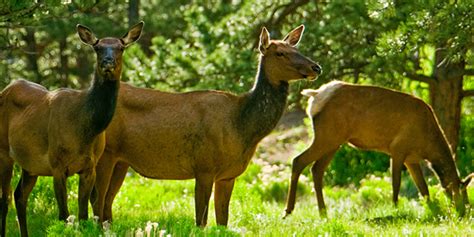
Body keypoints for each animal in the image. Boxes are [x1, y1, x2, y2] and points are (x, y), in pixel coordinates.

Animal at [0, 21, 143, 235]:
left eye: (121, 47)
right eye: (97, 47)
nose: (108, 62)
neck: (85, 130)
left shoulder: (89, 166)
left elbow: (83, 216)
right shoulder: (57, 164)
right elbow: (64, 215)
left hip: (30, 165)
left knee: (19, 196)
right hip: (3, 151)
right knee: (4, 199)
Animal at [91, 25, 322, 227]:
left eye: (297, 49)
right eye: (280, 53)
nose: (316, 67)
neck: (242, 127)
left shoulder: (228, 175)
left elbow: (222, 221)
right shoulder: (204, 166)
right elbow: (200, 221)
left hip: (122, 160)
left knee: (107, 200)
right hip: (105, 152)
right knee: (97, 197)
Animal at [284, 80, 472, 218]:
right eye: (461, 193)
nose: (464, 212)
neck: (428, 146)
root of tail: (315, 95)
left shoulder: (412, 158)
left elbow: (423, 188)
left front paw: (431, 208)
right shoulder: (398, 148)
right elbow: (396, 182)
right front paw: (395, 208)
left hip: (334, 141)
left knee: (316, 169)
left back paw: (323, 212)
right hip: (327, 136)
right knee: (298, 160)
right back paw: (289, 210)